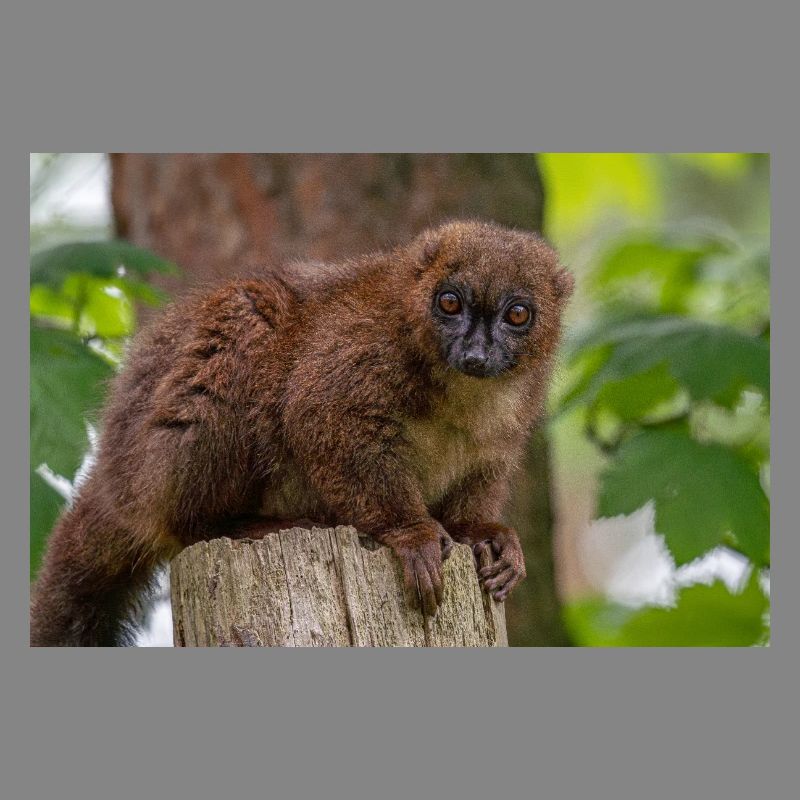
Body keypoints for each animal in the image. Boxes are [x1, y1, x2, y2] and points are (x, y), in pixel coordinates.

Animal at [30, 220, 573, 646]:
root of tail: (116, 471)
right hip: (158, 461)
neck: (461, 390)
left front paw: (479, 533)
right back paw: (239, 525)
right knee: (247, 313)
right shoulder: (364, 347)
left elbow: (486, 465)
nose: (477, 354)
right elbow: (315, 414)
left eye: (517, 314)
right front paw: (411, 532)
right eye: (450, 303)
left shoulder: (514, 416)